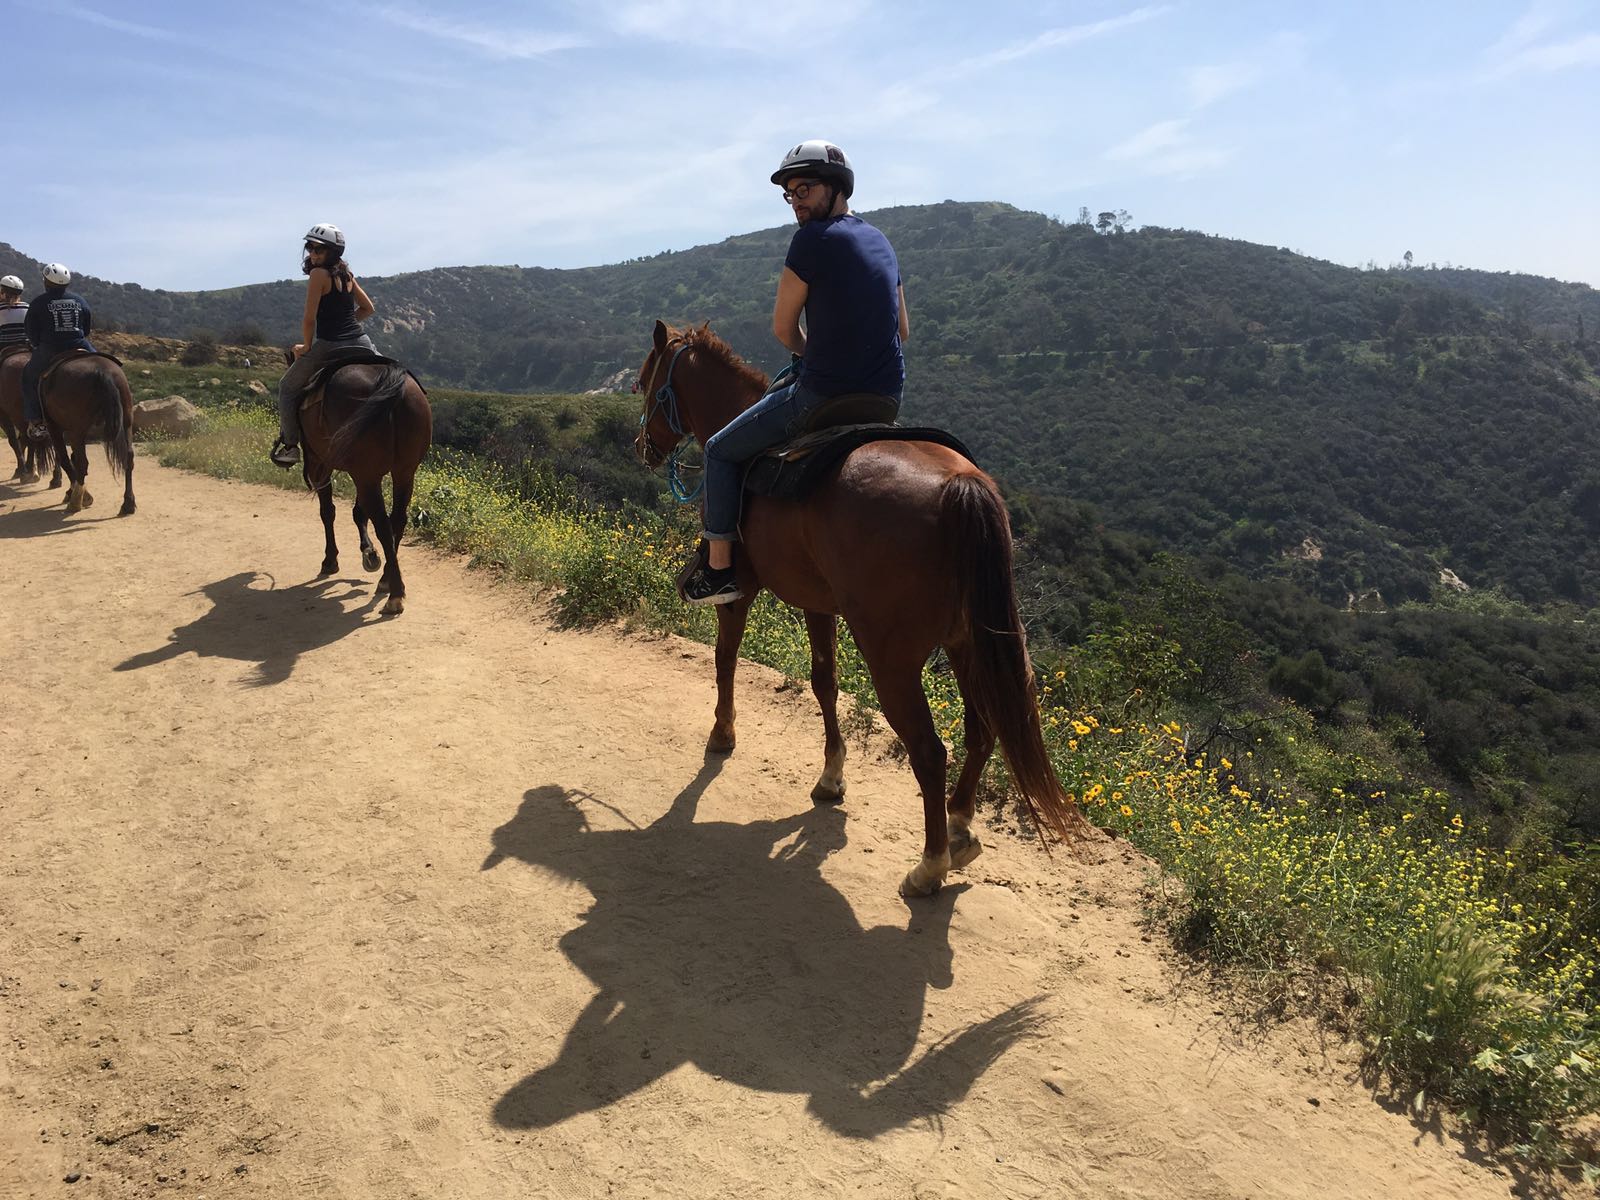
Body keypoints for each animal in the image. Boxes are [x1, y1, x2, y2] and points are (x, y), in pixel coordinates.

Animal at [0, 345, 57, 486]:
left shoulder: (4, 416)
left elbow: (15, 441)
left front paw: (23, 470)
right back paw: (55, 478)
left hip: (19, 416)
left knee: (28, 439)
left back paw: (28, 472)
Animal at [630, 324, 1094, 896]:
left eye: (646, 382)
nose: (644, 447)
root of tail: (959, 488)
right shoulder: (818, 603)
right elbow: (824, 681)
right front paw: (832, 775)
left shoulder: (741, 589)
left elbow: (726, 657)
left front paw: (723, 733)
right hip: (967, 643)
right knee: (980, 728)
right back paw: (960, 826)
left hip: (892, 658)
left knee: (930, 750)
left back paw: (929, 866)